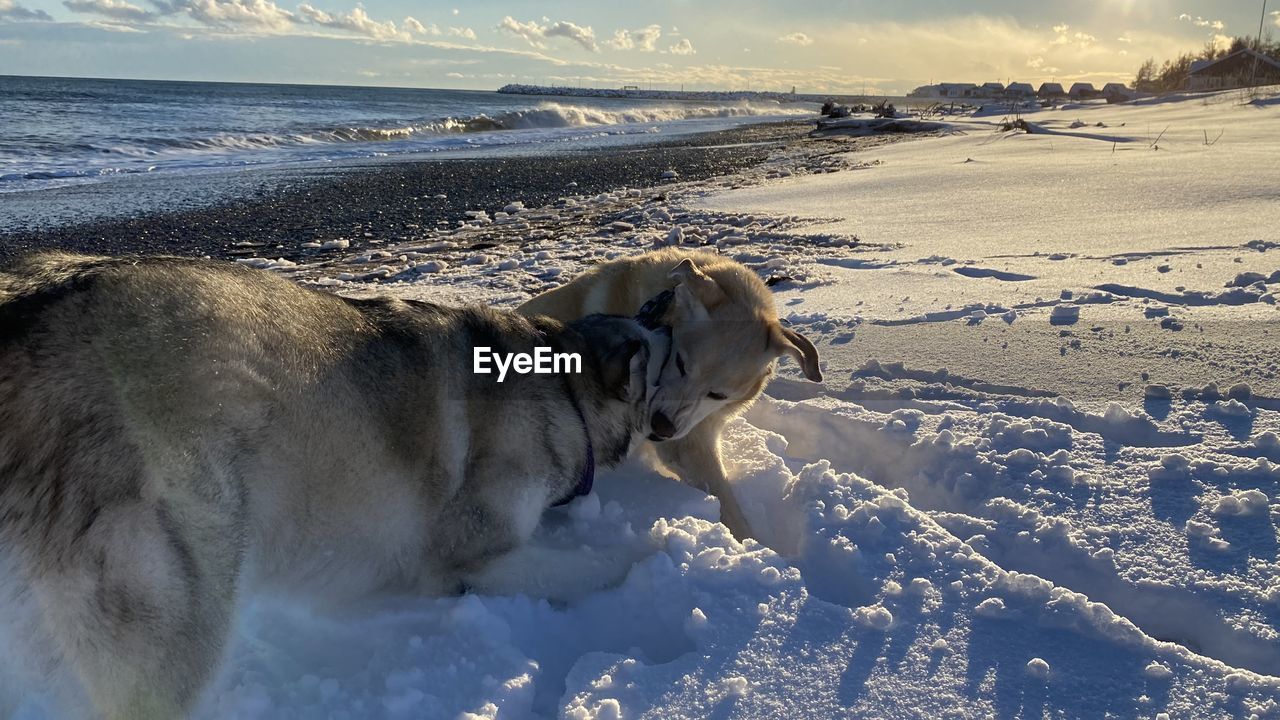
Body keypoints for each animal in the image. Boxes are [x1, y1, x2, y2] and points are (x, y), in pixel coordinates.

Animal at [0, 251, 660, 712]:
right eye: (660, 356)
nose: (659, 306)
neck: (565, 385)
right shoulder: (469, 561)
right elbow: (595, 566)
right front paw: (653, 556)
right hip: (180, 603)